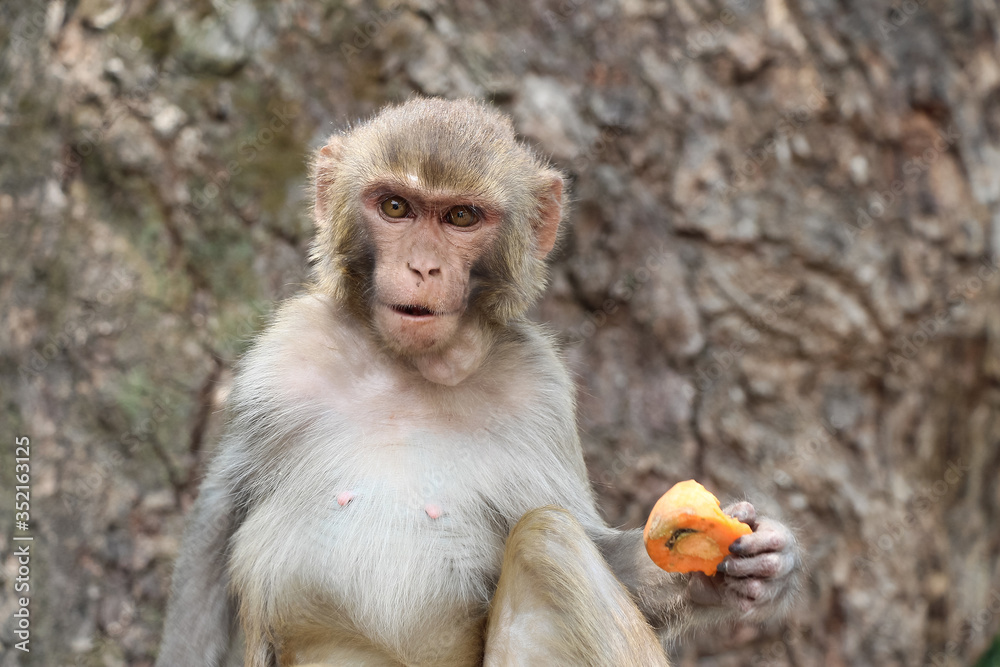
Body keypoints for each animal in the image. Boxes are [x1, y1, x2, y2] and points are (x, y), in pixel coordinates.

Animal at [156, 98, 800, 667]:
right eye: (396, 207)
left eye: (460, 217)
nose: (423, 267)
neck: (410, 369)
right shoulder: (285, 359)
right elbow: (219, 518)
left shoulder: (539, 389)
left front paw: (751, 566)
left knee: (548, 539)